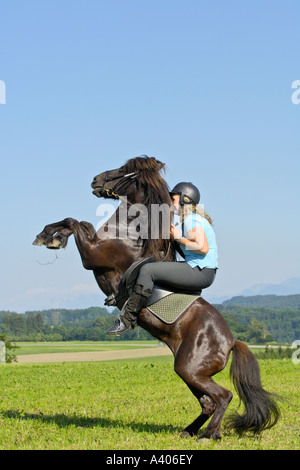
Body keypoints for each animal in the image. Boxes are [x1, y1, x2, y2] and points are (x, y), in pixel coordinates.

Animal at [32, 156, 278, 438]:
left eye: (122, 170)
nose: (95, 180)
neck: (130, 230)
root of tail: (231, 341)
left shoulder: (92, 255)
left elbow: (74, 221)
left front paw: (52, 238)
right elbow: (77, 222)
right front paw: (48, 236)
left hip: (190, 369)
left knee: (222, 396)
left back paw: (209, 435)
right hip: (189, 370)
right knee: (208, 402)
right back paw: (187, 432)